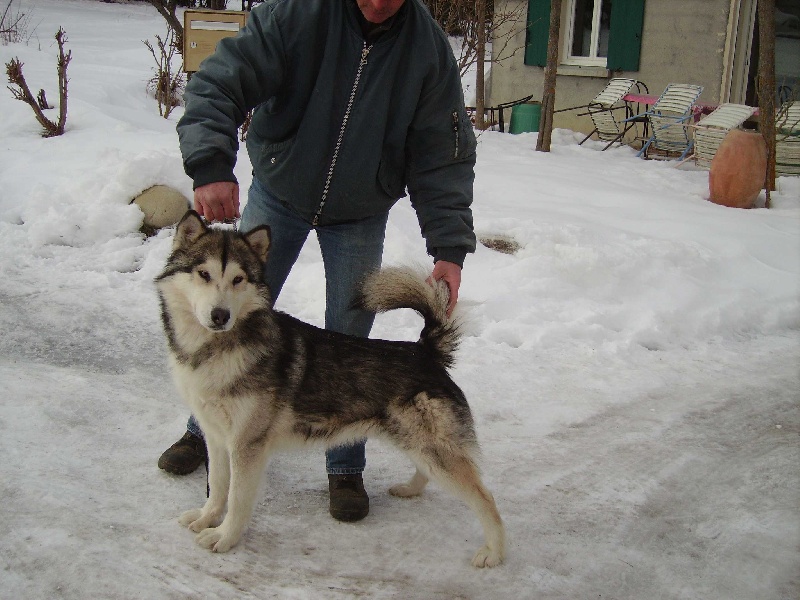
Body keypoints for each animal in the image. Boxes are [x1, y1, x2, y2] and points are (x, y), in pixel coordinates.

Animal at [155, 211, 506, 568]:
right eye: (203, 274)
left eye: (238, 279)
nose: (220, 315)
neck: (215, 349)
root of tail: (425, 351)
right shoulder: (216, 438)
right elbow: (217, 486)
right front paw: (206, 517)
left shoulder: (246, 445)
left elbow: (237, 499)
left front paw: (224, 537)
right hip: (416, 441)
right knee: (428, 471)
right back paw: (409, 490)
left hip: (435, 449)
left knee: (486, 498)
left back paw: (494, 552)